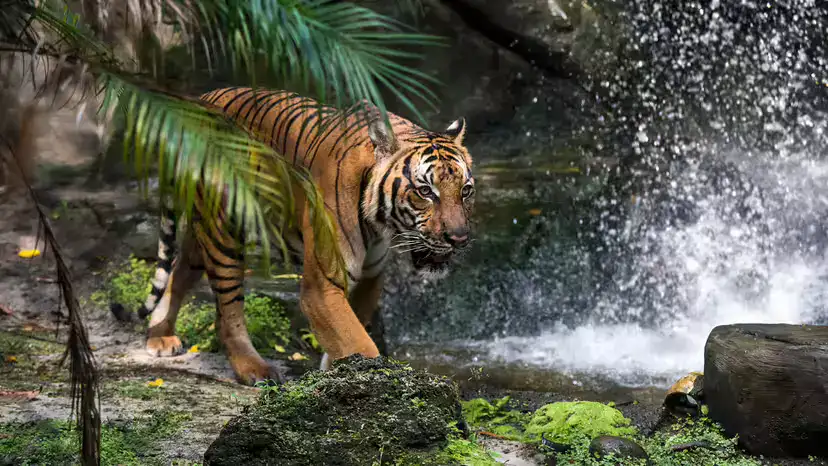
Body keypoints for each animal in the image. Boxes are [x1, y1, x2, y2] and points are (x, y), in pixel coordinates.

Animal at [137, 87, 476, 385]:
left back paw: (160, 336)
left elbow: (349, 336)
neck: (379, 224)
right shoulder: (322, 286)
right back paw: (253, 369)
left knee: (180, 268)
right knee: (227, 310)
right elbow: (360, 344)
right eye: (425, 191)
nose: (459, 238)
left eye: (466, 191)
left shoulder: (370, 276)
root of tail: (201, 98)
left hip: (203, 228)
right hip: (223, 231)